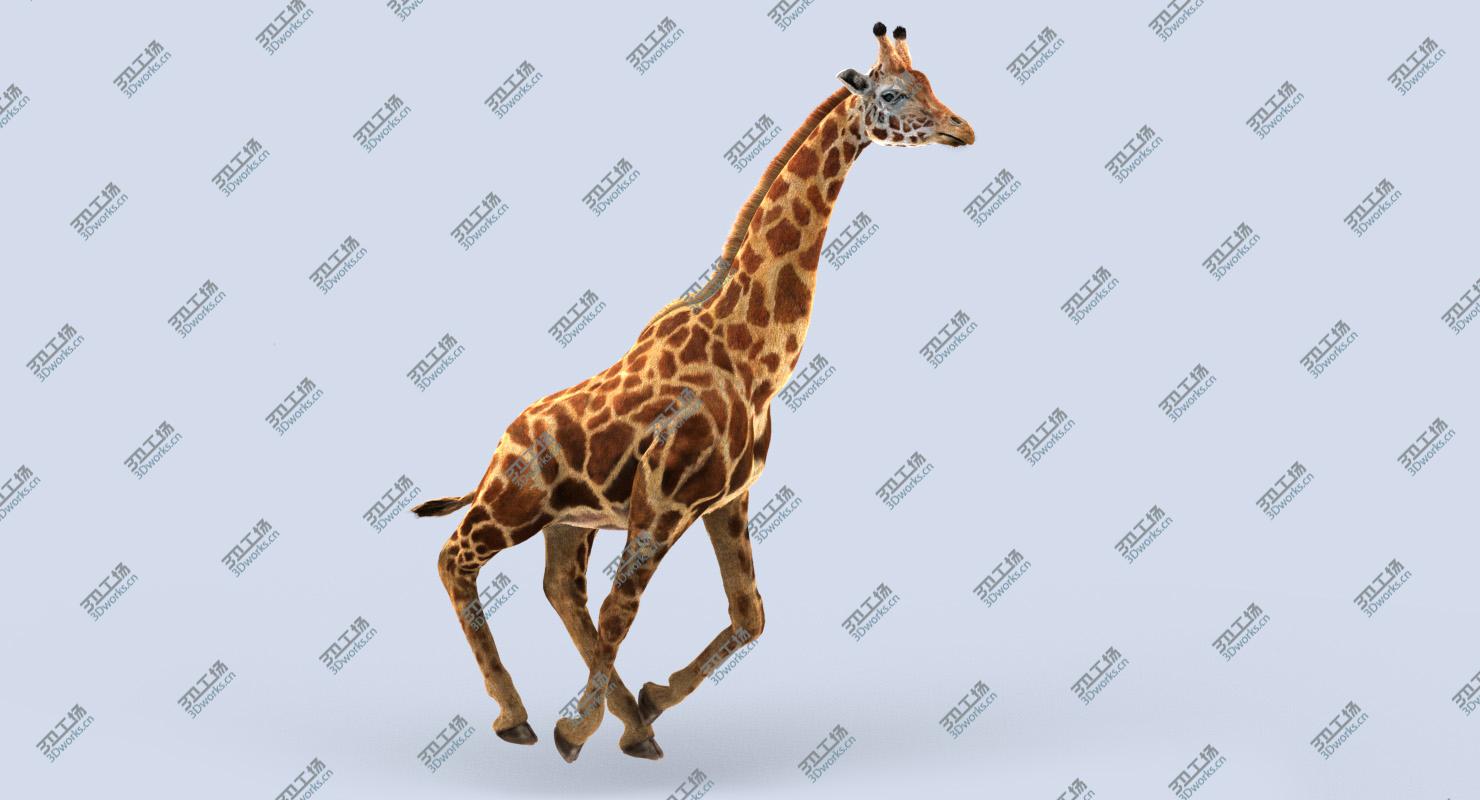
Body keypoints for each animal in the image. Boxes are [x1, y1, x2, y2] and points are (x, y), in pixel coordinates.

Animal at [412, 21, 973, 762]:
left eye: (931, 84)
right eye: (892, 94)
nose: (963, 129)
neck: (754, 359)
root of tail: (497, 447)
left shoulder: (725, 499)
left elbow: (749, 614)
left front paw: (645, 706)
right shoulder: (665, 503)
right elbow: (625, 610)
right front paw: (577, 730)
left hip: (568, 521)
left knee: (561, 590)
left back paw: (627, 720)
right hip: (514, 504)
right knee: (455, 561)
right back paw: (517, 716)